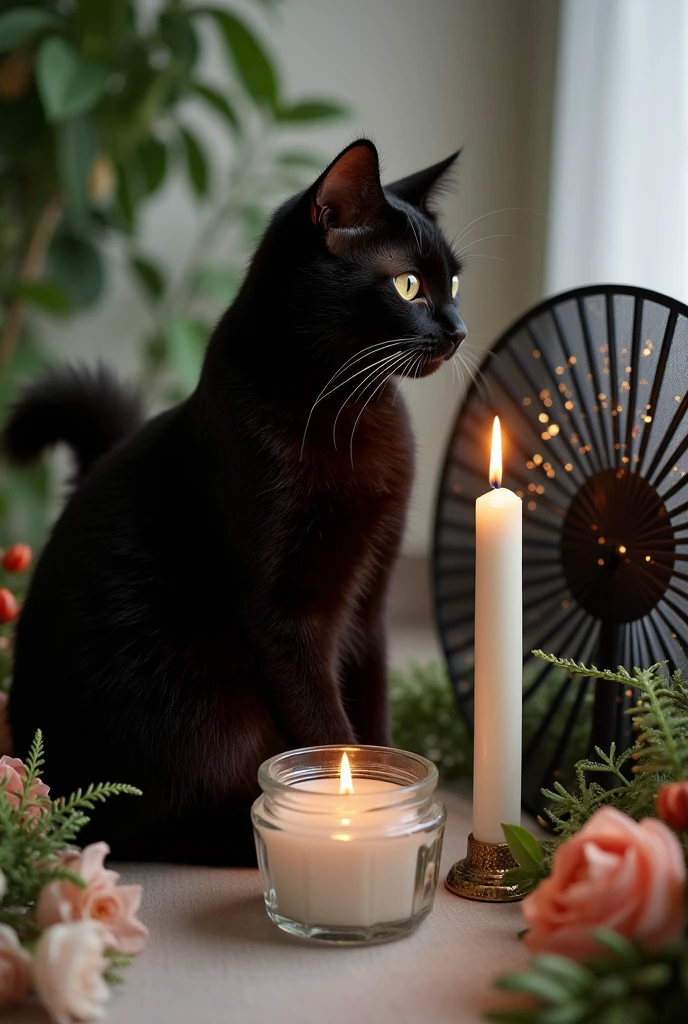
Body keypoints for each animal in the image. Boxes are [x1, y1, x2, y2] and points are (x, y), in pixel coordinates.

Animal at [2, 140, 464, 864]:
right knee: (137, 826)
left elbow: (371, 712)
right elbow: (327, 726)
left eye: (455, 284)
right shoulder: (284, 616)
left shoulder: (371, 602)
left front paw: (389, 790)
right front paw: (358, 808)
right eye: (410, 286)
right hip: (203, 713)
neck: (348, 408)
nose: (460, 329)